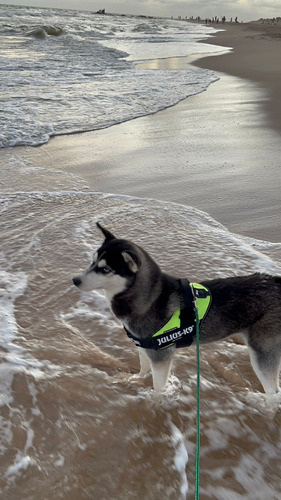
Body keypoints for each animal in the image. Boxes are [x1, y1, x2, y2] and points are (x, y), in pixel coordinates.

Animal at [72, 224, 280, 394]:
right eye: (92, 262)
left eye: (105, 270)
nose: (75, 280)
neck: (150, 299)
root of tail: (276, 281)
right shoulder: (144, 348)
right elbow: (142, 371)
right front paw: (135, 381)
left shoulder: (161, 357)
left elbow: (158, 390)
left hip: (261, 355)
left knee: (273, 392)